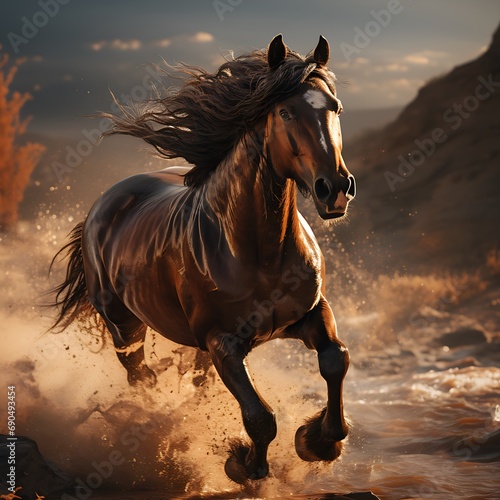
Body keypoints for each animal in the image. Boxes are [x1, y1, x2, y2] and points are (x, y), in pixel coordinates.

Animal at [50, 34, 356, 480]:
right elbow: (260, 417)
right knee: (142, 379)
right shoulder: (223, 342)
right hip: (125, 328)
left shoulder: (310, 313)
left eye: (335, 108)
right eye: (285, 111)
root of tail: (103, 206)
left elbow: (335, 359)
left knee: (194, 382)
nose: (334, 189)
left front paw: (318, 441)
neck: (258, 254)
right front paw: (243, 464)